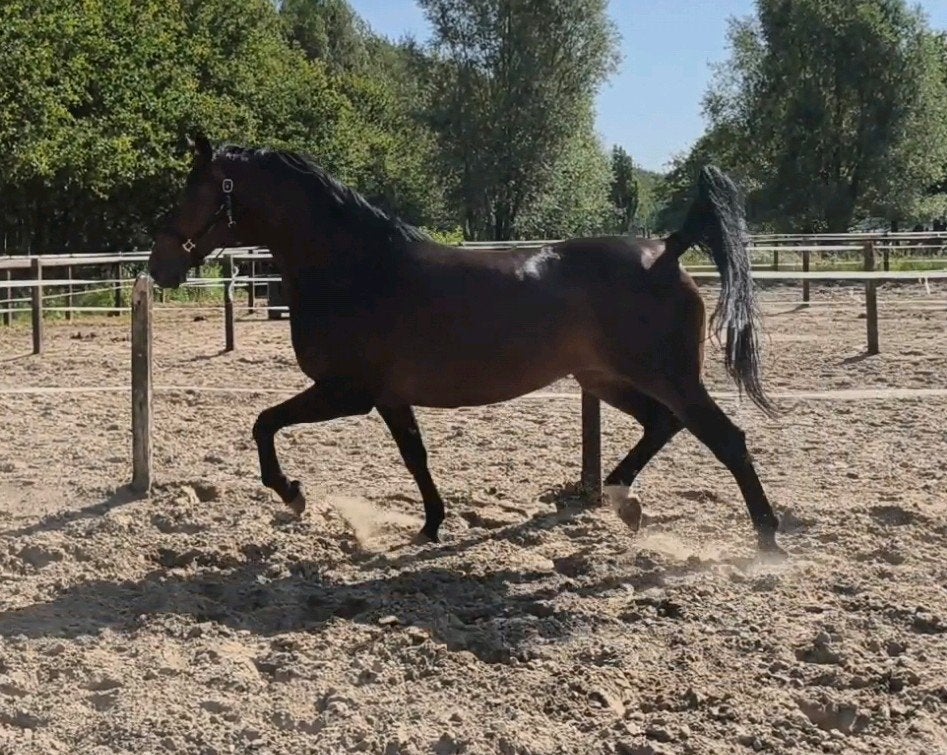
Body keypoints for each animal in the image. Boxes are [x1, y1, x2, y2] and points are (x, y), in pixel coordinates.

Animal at [149, 133, 785, 555]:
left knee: (726, 439)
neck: (356, 270)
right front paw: (431, 525)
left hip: (667, 377)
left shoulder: (347, 392)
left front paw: (292, 494)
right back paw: (622, 501)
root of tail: (668, 251)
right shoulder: (389, 398)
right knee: (662, 424)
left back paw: (768, 543)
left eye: (194, 191)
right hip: (605, 378)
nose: (159, 266)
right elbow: (415, 456)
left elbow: (264, 423)